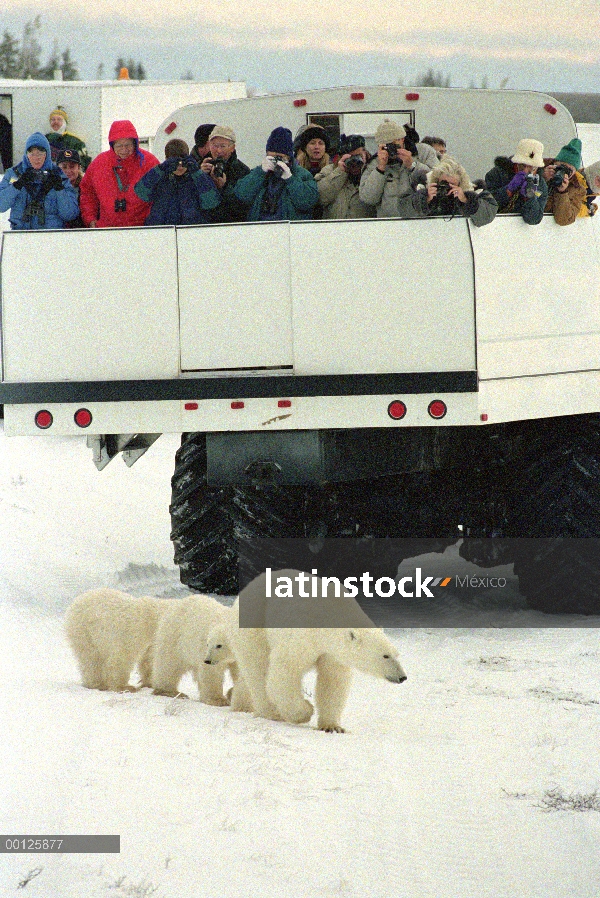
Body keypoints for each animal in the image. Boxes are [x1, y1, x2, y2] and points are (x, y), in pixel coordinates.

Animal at [206, 572, 408, 732]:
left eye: (396, 654)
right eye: (385, 656)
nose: (402, 677)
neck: (328, 618)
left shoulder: (332, 652)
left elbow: (333, 680)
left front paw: (333, 726)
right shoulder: (301, 635)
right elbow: (285, 671)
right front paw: (305, 711)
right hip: (255, 626)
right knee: (258, 668)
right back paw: (271, 712)